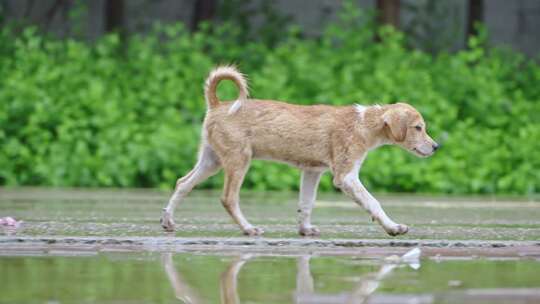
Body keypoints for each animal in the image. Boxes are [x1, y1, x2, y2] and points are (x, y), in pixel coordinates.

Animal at [161, 66, 438, 238]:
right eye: (418, 127)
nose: (437, 147)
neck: (364, 123)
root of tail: (217, 105)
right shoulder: (346, 177)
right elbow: (373, 202)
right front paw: (393, 228)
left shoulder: (312, 171)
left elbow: (306, 203)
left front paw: (305, 230)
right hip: (238, 160)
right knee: (228, 198)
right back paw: (249, 229)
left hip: (212, 161)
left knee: (182, 183)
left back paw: (168, 221)